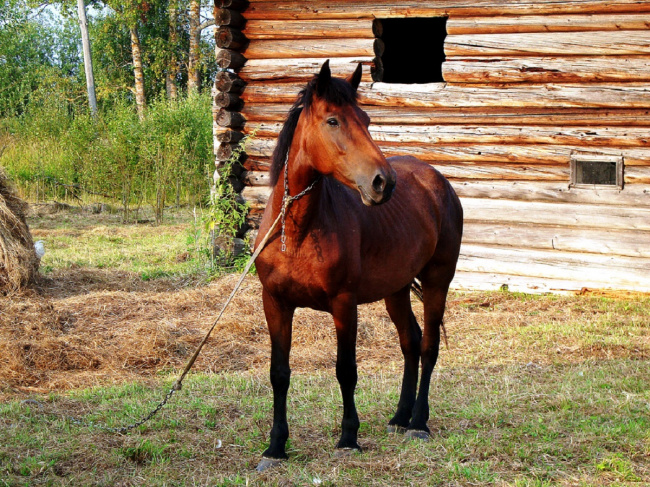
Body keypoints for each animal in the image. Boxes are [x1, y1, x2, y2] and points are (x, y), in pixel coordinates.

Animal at [252, 60, 460, 468]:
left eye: (365, 119)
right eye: (333, 121)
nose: (383, 183)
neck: (297, 231)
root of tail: (437, 181)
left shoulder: (344, 304)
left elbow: (345, 369)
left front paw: (349, 436)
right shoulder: (276, 303)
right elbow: (279, 373)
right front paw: (276, 446)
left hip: (437, 282)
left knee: (428, 346)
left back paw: (418, 423)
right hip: (396, 289)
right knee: (410, 341)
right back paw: (400, 416)